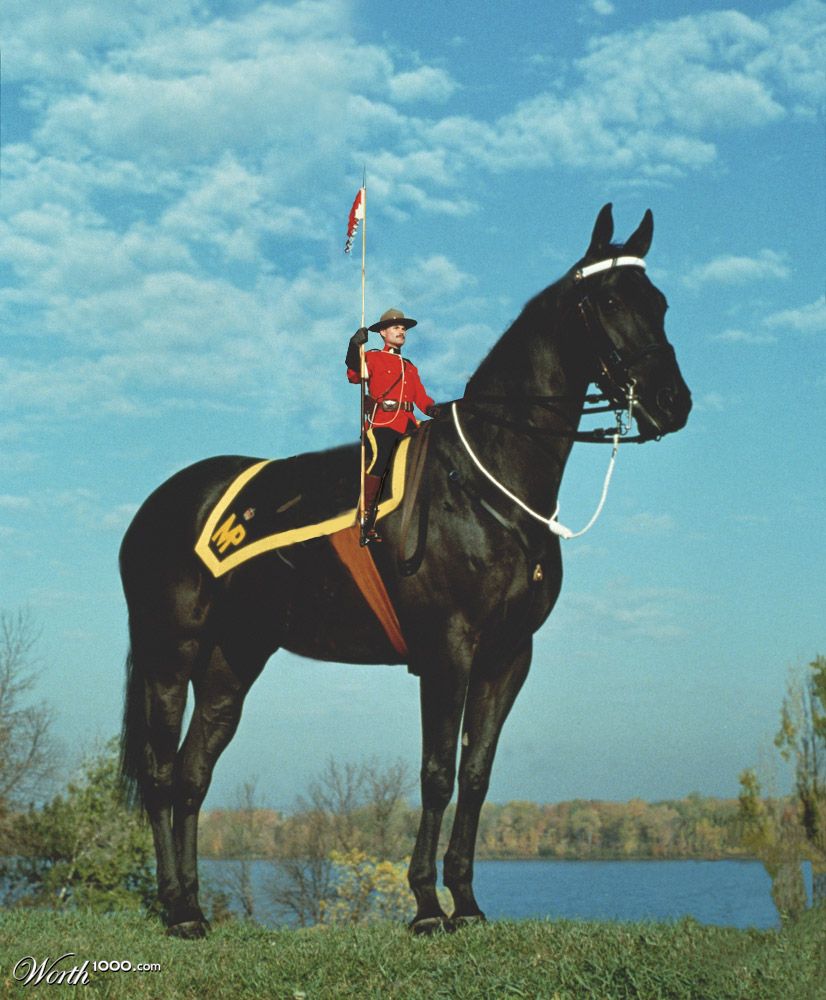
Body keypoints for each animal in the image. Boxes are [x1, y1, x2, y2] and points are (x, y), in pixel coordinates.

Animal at [119, 204, 691, 937]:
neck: (487, 480)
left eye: (661, 302)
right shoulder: (448, 650)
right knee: (162, 775)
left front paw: (466, 903)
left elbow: (476, 775)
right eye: (612, 300)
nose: (673, 402)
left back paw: (191, 904)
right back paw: (177, 910)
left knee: (193, 776)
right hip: (171, 653)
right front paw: (425, 906)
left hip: (231, 662)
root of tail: (157, 507)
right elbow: (436, 773)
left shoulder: (507, 656)